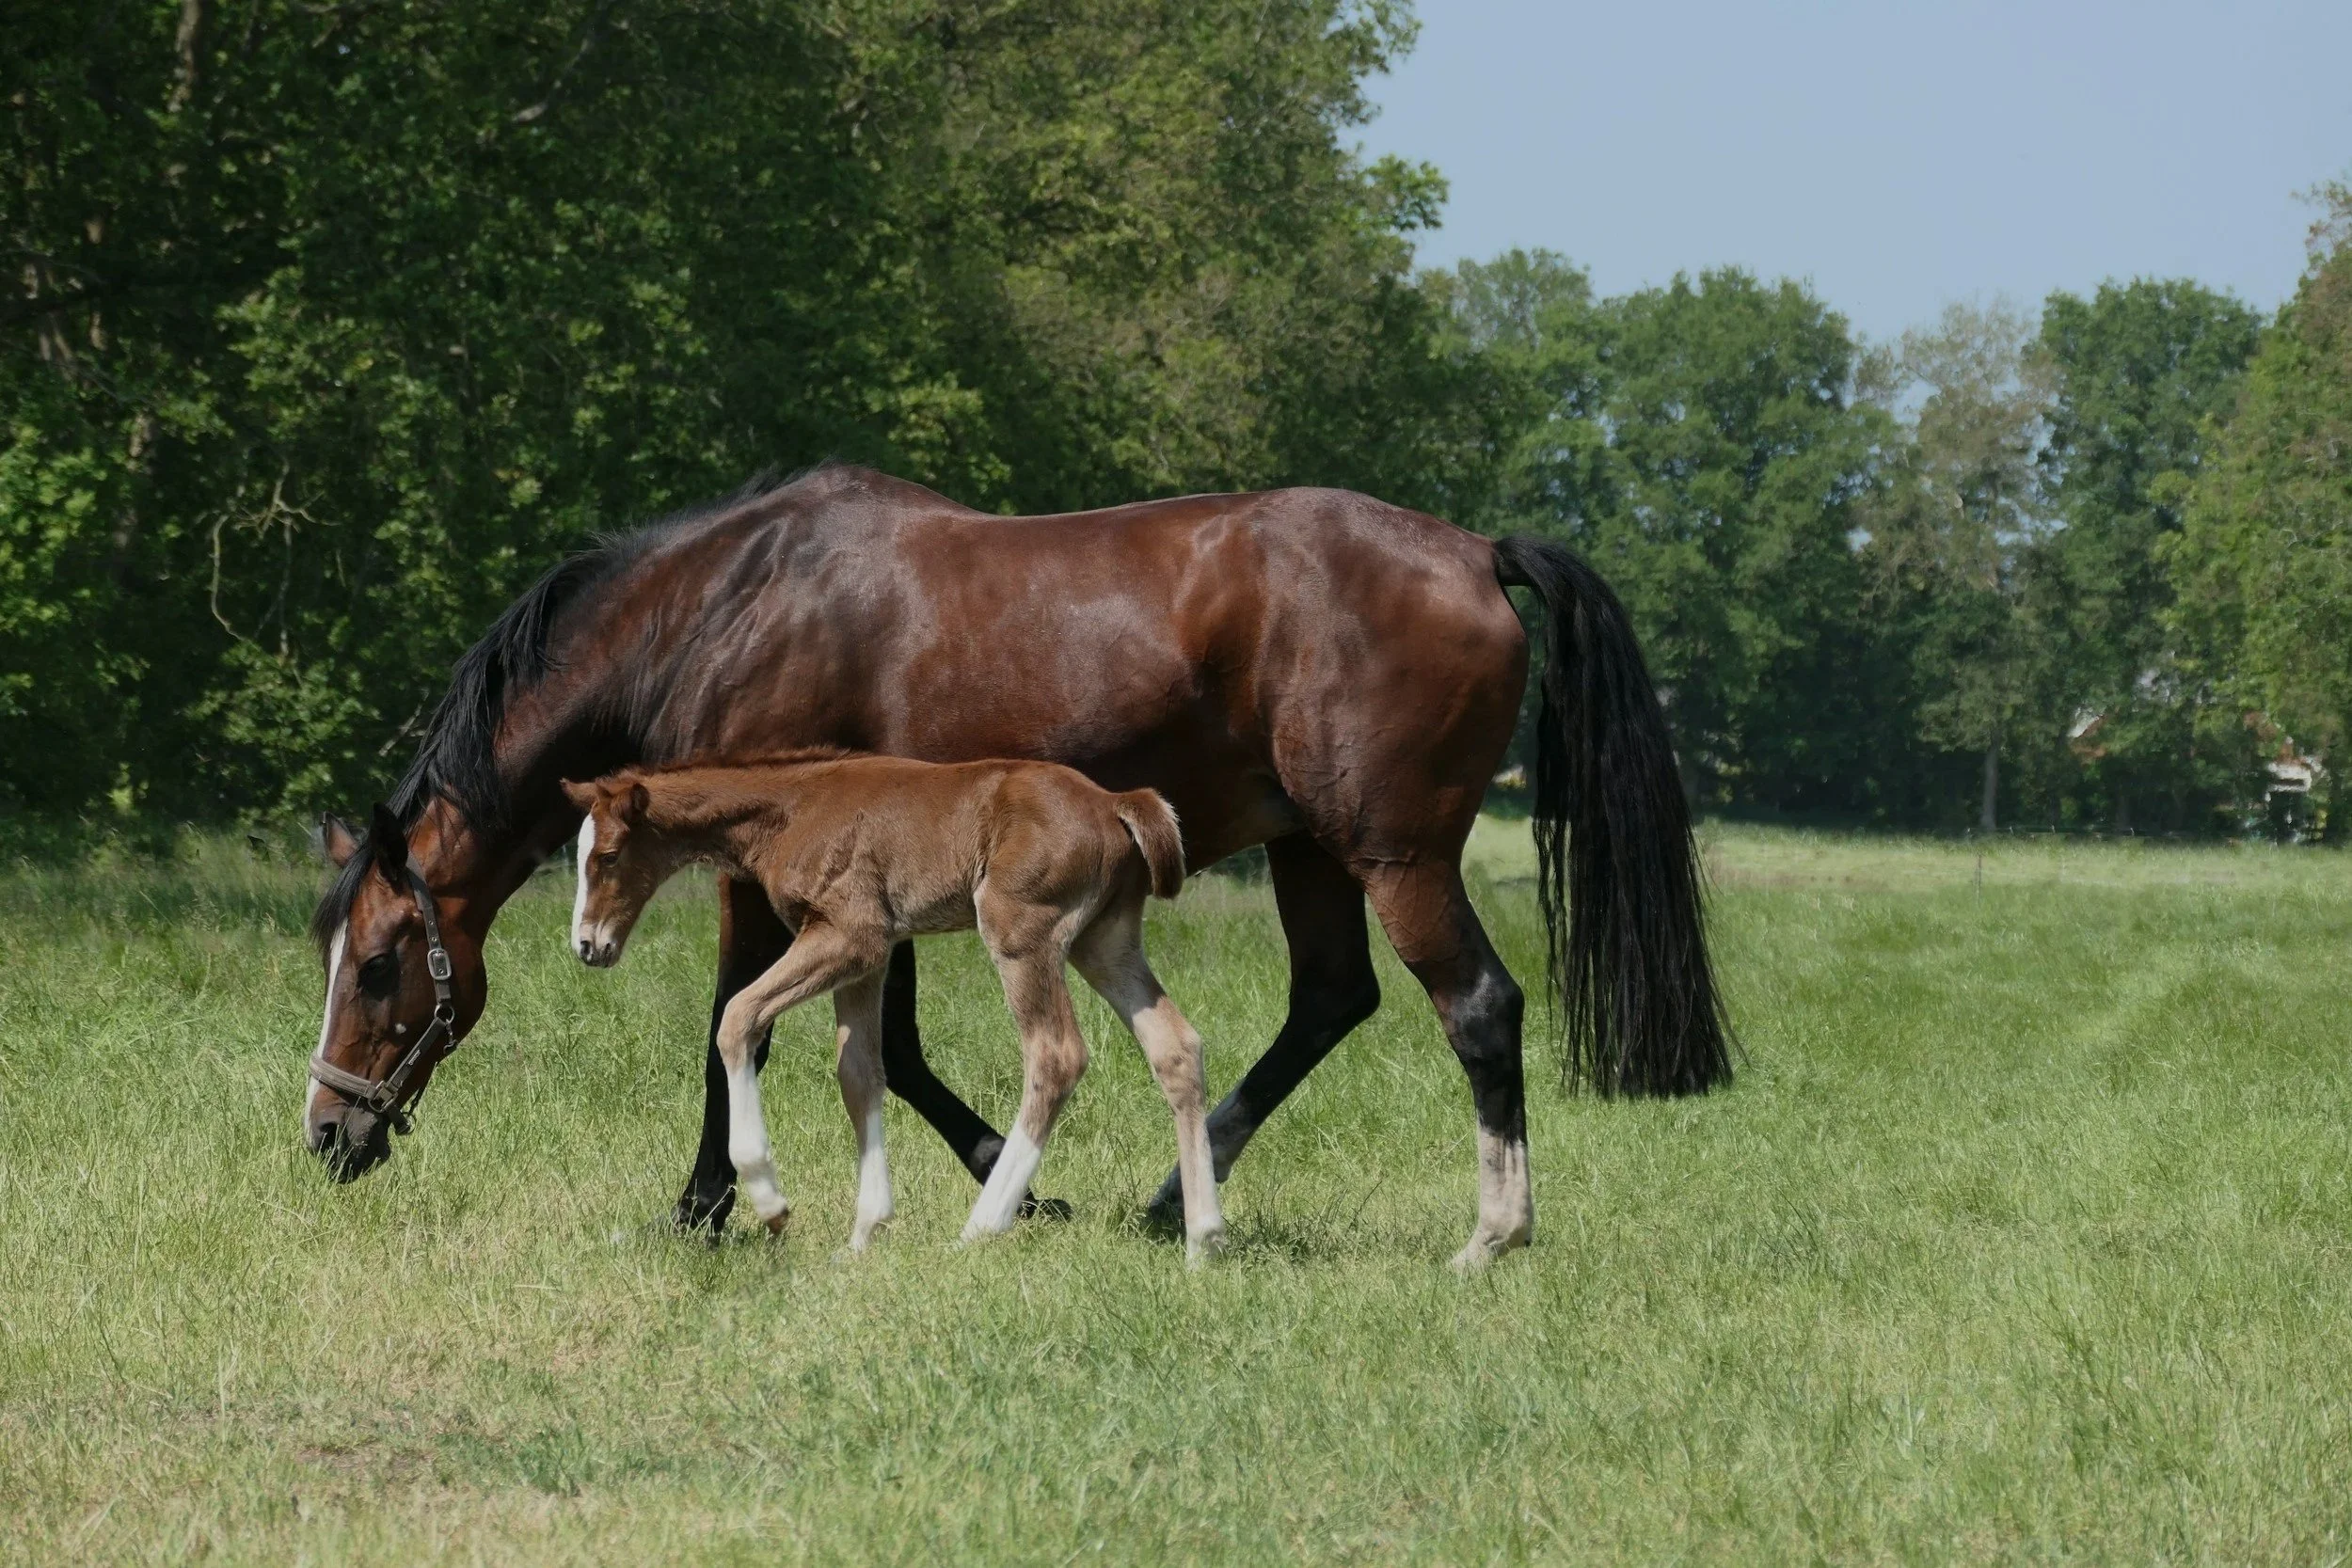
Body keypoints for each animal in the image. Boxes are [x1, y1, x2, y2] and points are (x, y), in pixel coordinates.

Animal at [559, 751, 1220, 1261]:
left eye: (608, 855)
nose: (588, 945)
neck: (792, 808)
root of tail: (1115, 802)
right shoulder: (867, 959)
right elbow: (859, 1074)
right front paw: (862, 1234)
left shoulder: (851, 935)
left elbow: (739, 1018)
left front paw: (770, 1199)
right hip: (1104, 942)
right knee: (1176, 1046)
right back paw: (1203, 1240)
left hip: (1021, 931)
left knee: (1056, 1056)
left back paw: (981, 1226)